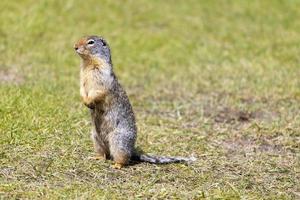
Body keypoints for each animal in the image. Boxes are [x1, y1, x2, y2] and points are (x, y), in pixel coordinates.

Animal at [73, 35, 196, 168]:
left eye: (91, 42)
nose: (75, 46)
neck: (88, 64)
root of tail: (132, 149)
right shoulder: (82, 79)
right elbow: (82, 89)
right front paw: (84, 100)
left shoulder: (102, 77)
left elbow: (97, 91)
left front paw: (89, 101)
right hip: (95, 137)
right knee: (104, 154)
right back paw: (97, 157)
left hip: (118, 141)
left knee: (124, 158)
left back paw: (117, 165)